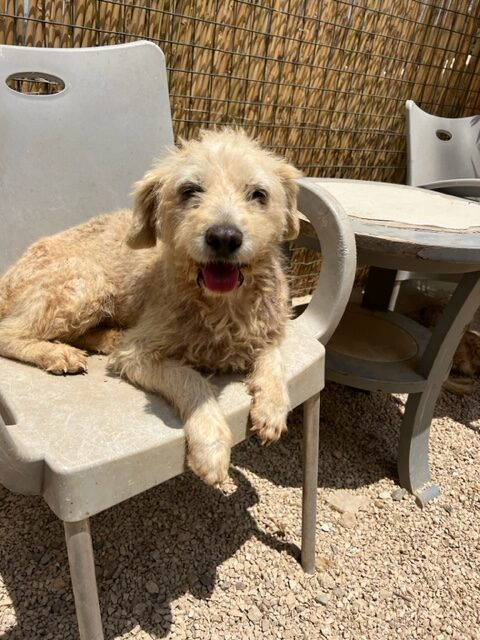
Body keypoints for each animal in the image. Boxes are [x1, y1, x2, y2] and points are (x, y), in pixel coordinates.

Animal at [0, 129, 302, 485]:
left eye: (258, 194)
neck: (222, 305)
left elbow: (273, 358)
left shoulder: (269, 329)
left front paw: (272, 408)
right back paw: (56, 353)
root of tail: (8, 273)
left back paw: (104, 338)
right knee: (9, 331)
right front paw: (211, 446)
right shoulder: (137, 353)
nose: (224, 237)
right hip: (86, 282)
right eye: (190, 190)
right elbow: (191, 380)